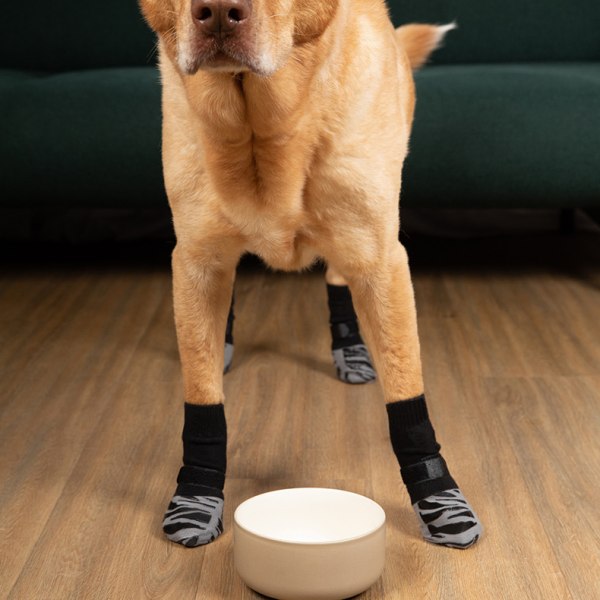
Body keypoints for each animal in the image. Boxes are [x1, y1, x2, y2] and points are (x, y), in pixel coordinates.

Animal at [138, 0, 480, 552]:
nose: (219, 11)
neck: (264, 131)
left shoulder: (381, 258)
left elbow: (406, 393)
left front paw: (439, 496)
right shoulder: (196, 260)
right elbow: (202, 397)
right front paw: (197, 493)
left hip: (355, 234)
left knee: (338, 278)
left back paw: (351, 347)